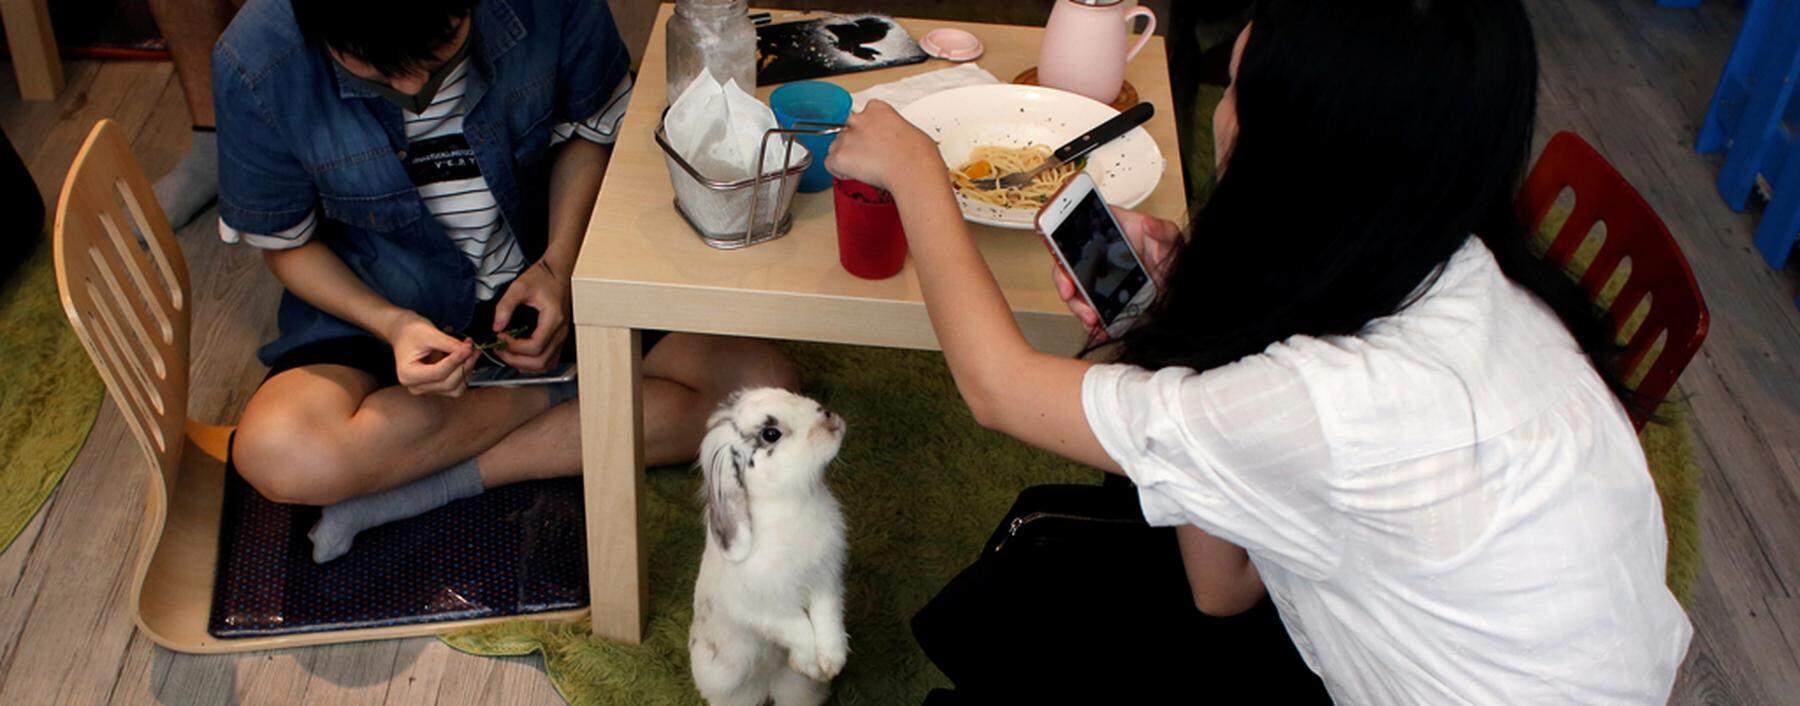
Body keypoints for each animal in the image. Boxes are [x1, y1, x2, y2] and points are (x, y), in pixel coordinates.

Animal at [691, 385, 853, 706]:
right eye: (771, 434)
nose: (829, 416)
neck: (791, 501)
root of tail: (765, 688)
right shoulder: (762, 609)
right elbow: (796, 626)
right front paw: (811, 663)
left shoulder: (825, 579)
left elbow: (826, 615)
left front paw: (831, 662)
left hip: (797, 692)